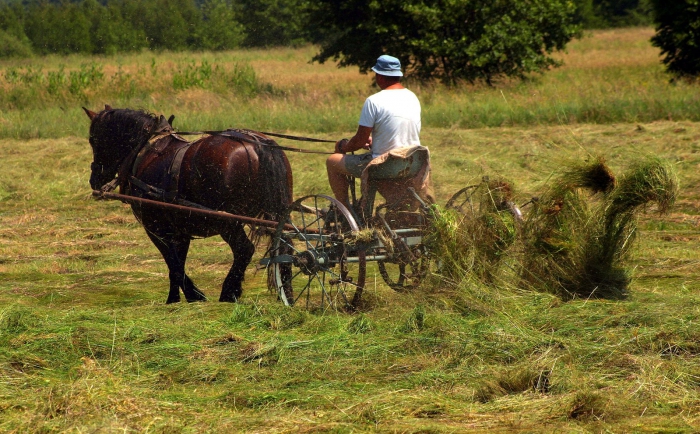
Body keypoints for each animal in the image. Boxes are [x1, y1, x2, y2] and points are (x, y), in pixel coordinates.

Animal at [84, 105, 292, 304]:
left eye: (92, 139)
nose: (94, 180)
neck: (145, 152)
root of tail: (258, 144)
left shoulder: (155, 229)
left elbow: (173, 263)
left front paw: (190, 296)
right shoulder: (181, 231)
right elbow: (178, 262)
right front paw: (176, 297)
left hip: (227, 222)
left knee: (244, 249)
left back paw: (228, 292)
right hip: (280, 213)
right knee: (286, 245)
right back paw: (287, 294)